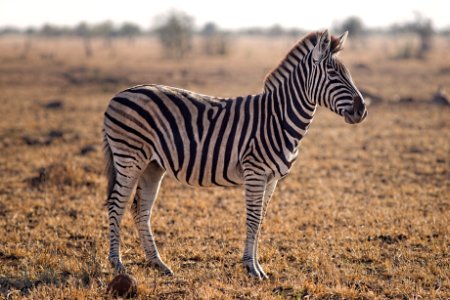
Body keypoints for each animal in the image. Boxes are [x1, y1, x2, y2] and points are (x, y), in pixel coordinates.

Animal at [103, 29, 370, 278]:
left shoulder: (272, 179)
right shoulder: (255, 172)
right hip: (129, 157)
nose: (362, 111)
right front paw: (252, 268)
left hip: (152, 165)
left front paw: (255, 265)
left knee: (140, 209)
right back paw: (117, 264)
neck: (278, 118)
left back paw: (158, 263)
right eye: (333, 73)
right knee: (117, 205)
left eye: (348, 73)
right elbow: (252, 219)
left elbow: (260, 220)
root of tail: (119, 94)